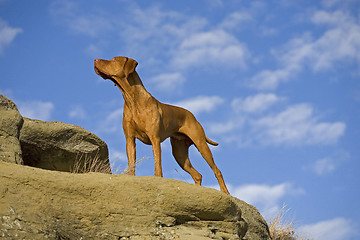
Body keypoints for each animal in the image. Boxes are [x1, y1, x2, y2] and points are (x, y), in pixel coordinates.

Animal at [94, 56, 229, 195]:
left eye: (115, 60)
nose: (95, 60)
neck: (132, 99)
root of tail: (192, 115)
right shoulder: (130, 140)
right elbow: (131, 164)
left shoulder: (155, 139)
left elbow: (157, 165)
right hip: (179, 154)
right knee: (197, 175)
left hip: (201, 144)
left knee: (217, 170)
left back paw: (225, 191)